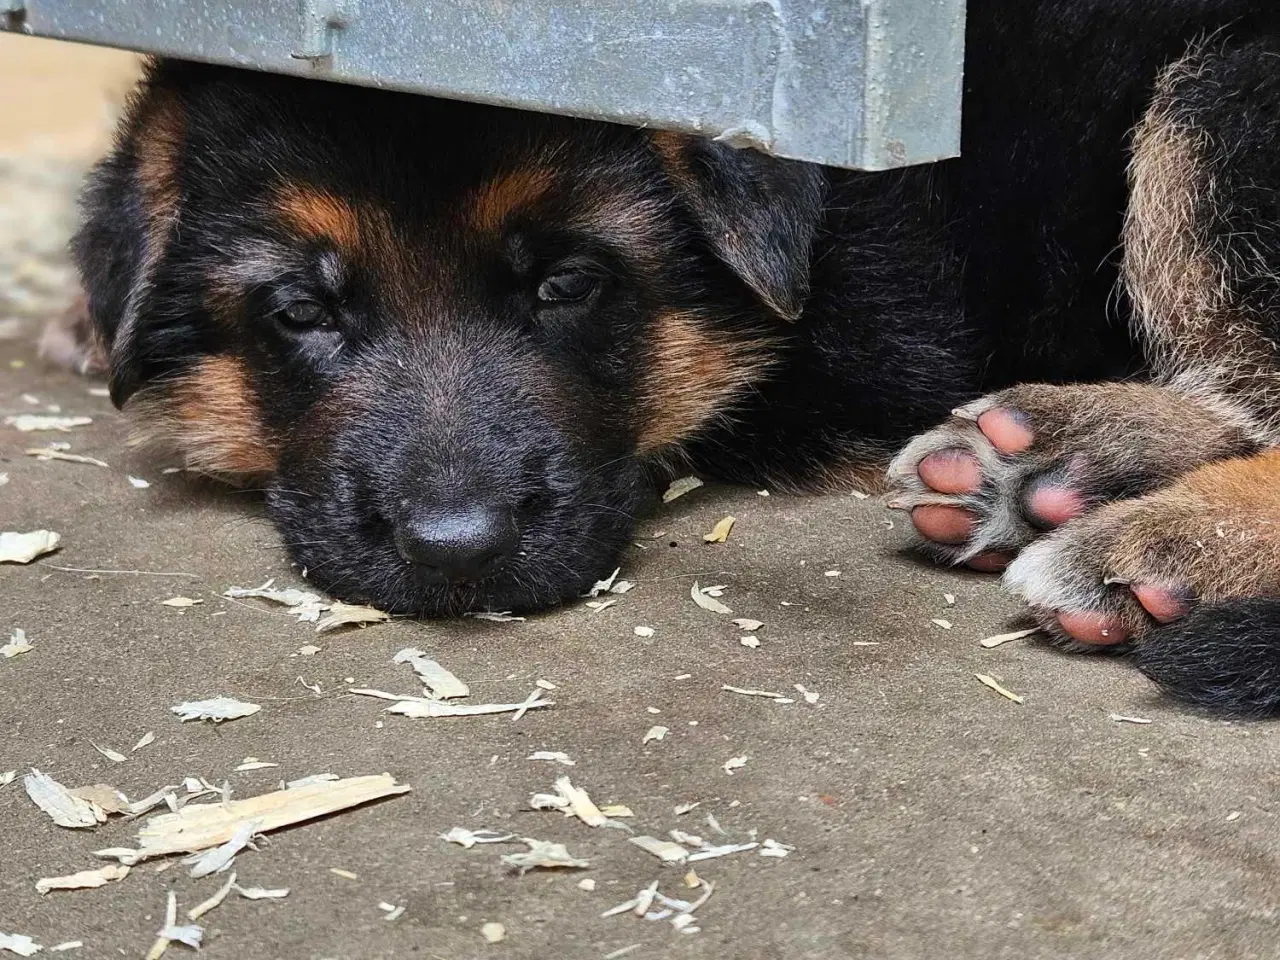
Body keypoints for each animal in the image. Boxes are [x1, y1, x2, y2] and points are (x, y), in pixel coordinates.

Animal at [67, 1, 1280, 716]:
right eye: (300, 311)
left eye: (566, 283)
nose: (455, 555)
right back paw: (1050, 463)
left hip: (1215, 100)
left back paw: (1158, 537)